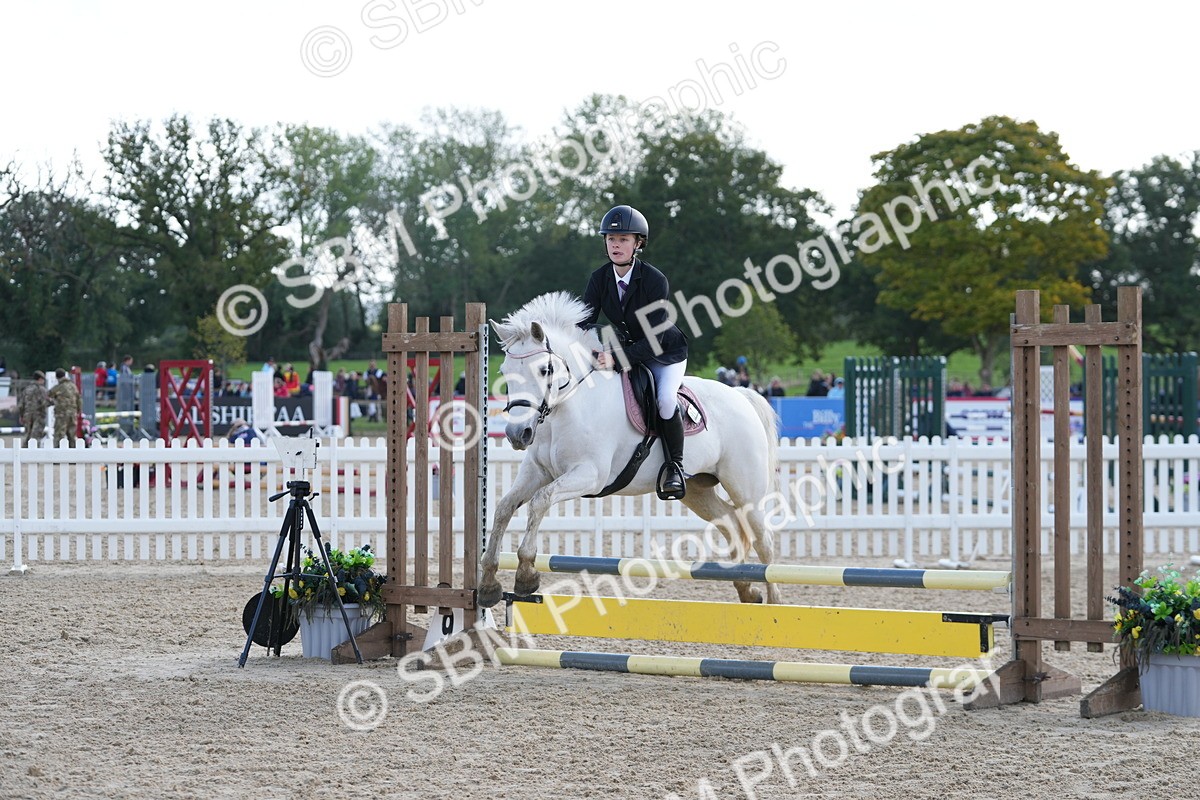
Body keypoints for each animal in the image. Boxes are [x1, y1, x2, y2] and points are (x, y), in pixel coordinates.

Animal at [478, 291, 782, 608]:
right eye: (504, 372)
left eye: (544, 370)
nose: (517, 434)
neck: (567, 406)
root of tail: (741, 395)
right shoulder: (536, 472)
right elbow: (504, 508)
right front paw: (488, 581)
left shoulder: (590, 475)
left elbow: (540, 501)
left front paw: (526, 573)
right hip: (698, 491)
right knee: (732, 525)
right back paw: (747, 591)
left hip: (746, 491)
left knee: (764, 541)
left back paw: (774, 602)